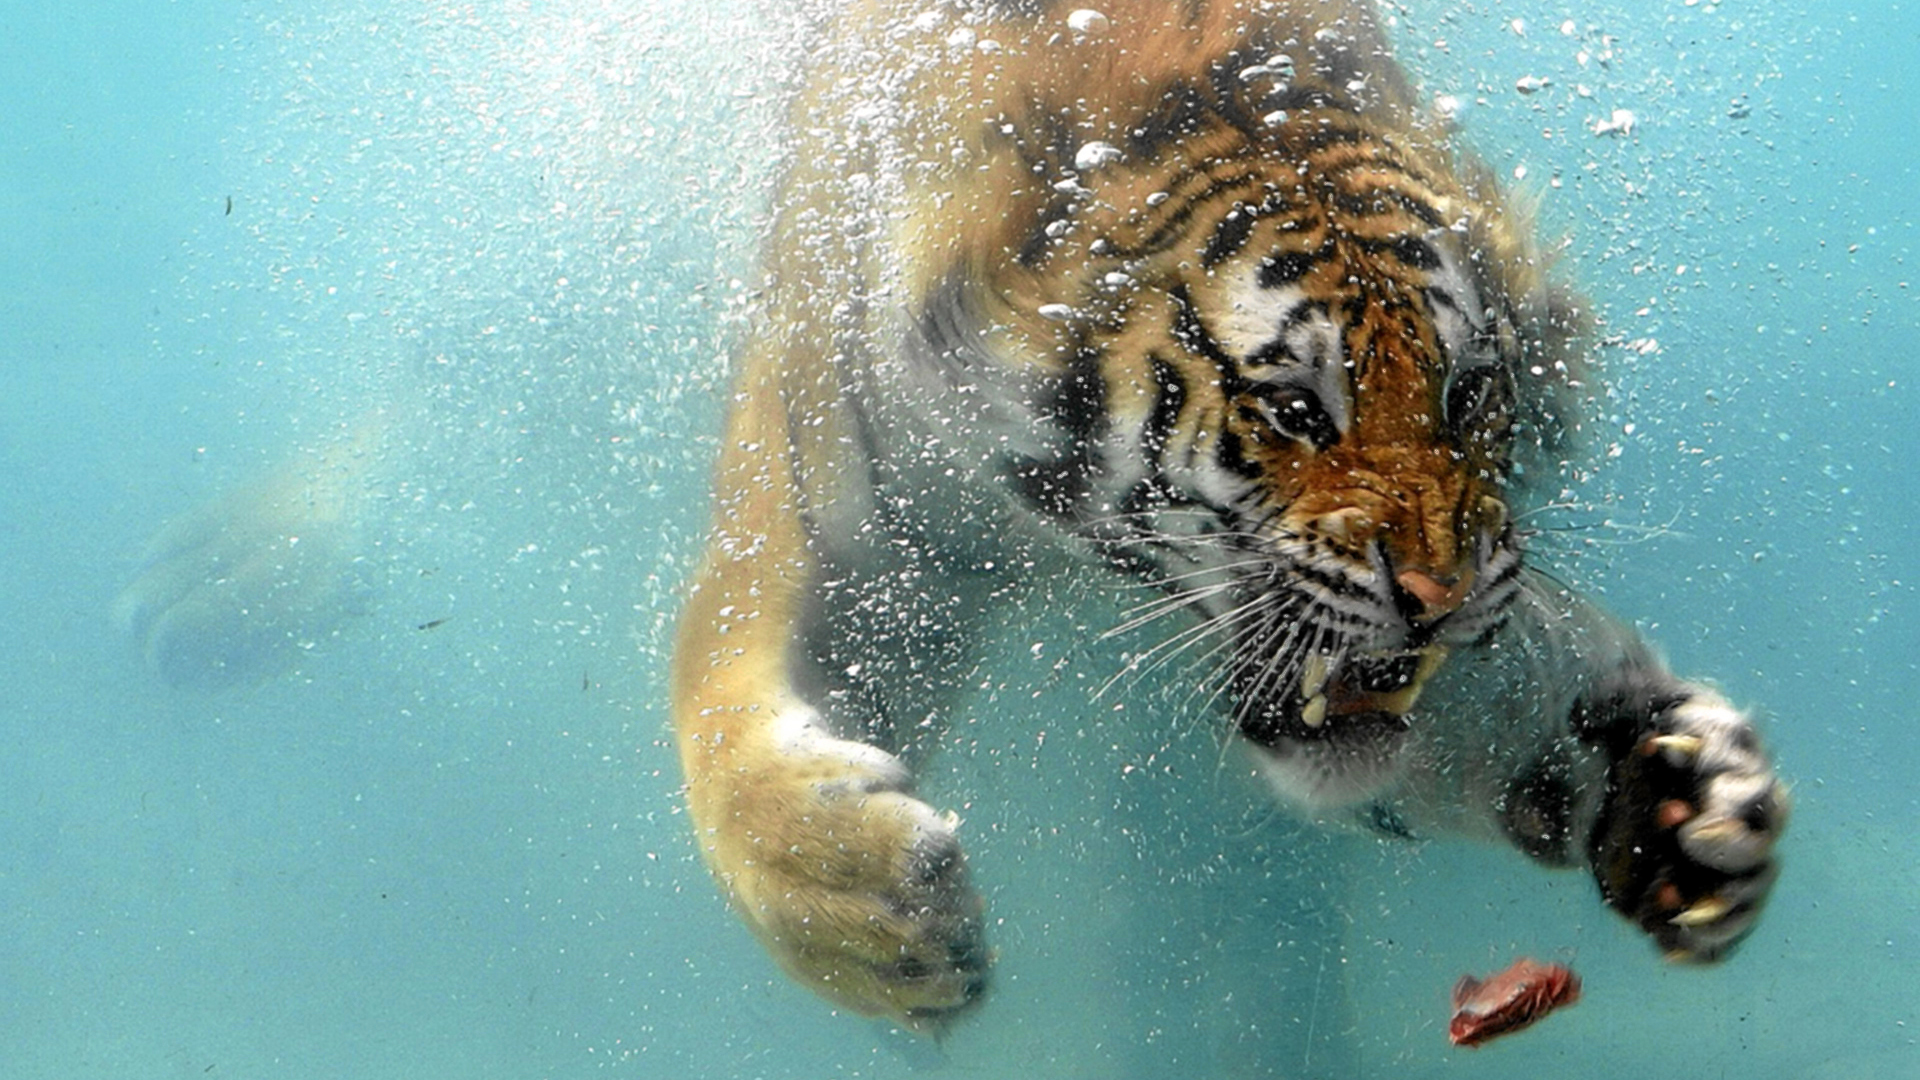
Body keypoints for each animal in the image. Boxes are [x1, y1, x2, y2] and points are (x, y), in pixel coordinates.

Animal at [668, 0, 1789, 1022]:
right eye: (1295, 409)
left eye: (1468, 392)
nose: (1442, 595)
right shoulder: (848, 529)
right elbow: (720, 703)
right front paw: (870, 905)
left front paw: (1679, 795)